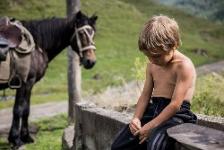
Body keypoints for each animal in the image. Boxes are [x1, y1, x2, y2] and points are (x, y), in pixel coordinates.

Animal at [0, 11, 98, 147]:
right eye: (81, 33)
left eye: (93, 34)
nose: (91, 61)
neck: (36, 46)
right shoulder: (25, 83)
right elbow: (18, 109)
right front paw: (15, 139)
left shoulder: (30, 84)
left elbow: (26, 109)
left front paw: (26, 137)